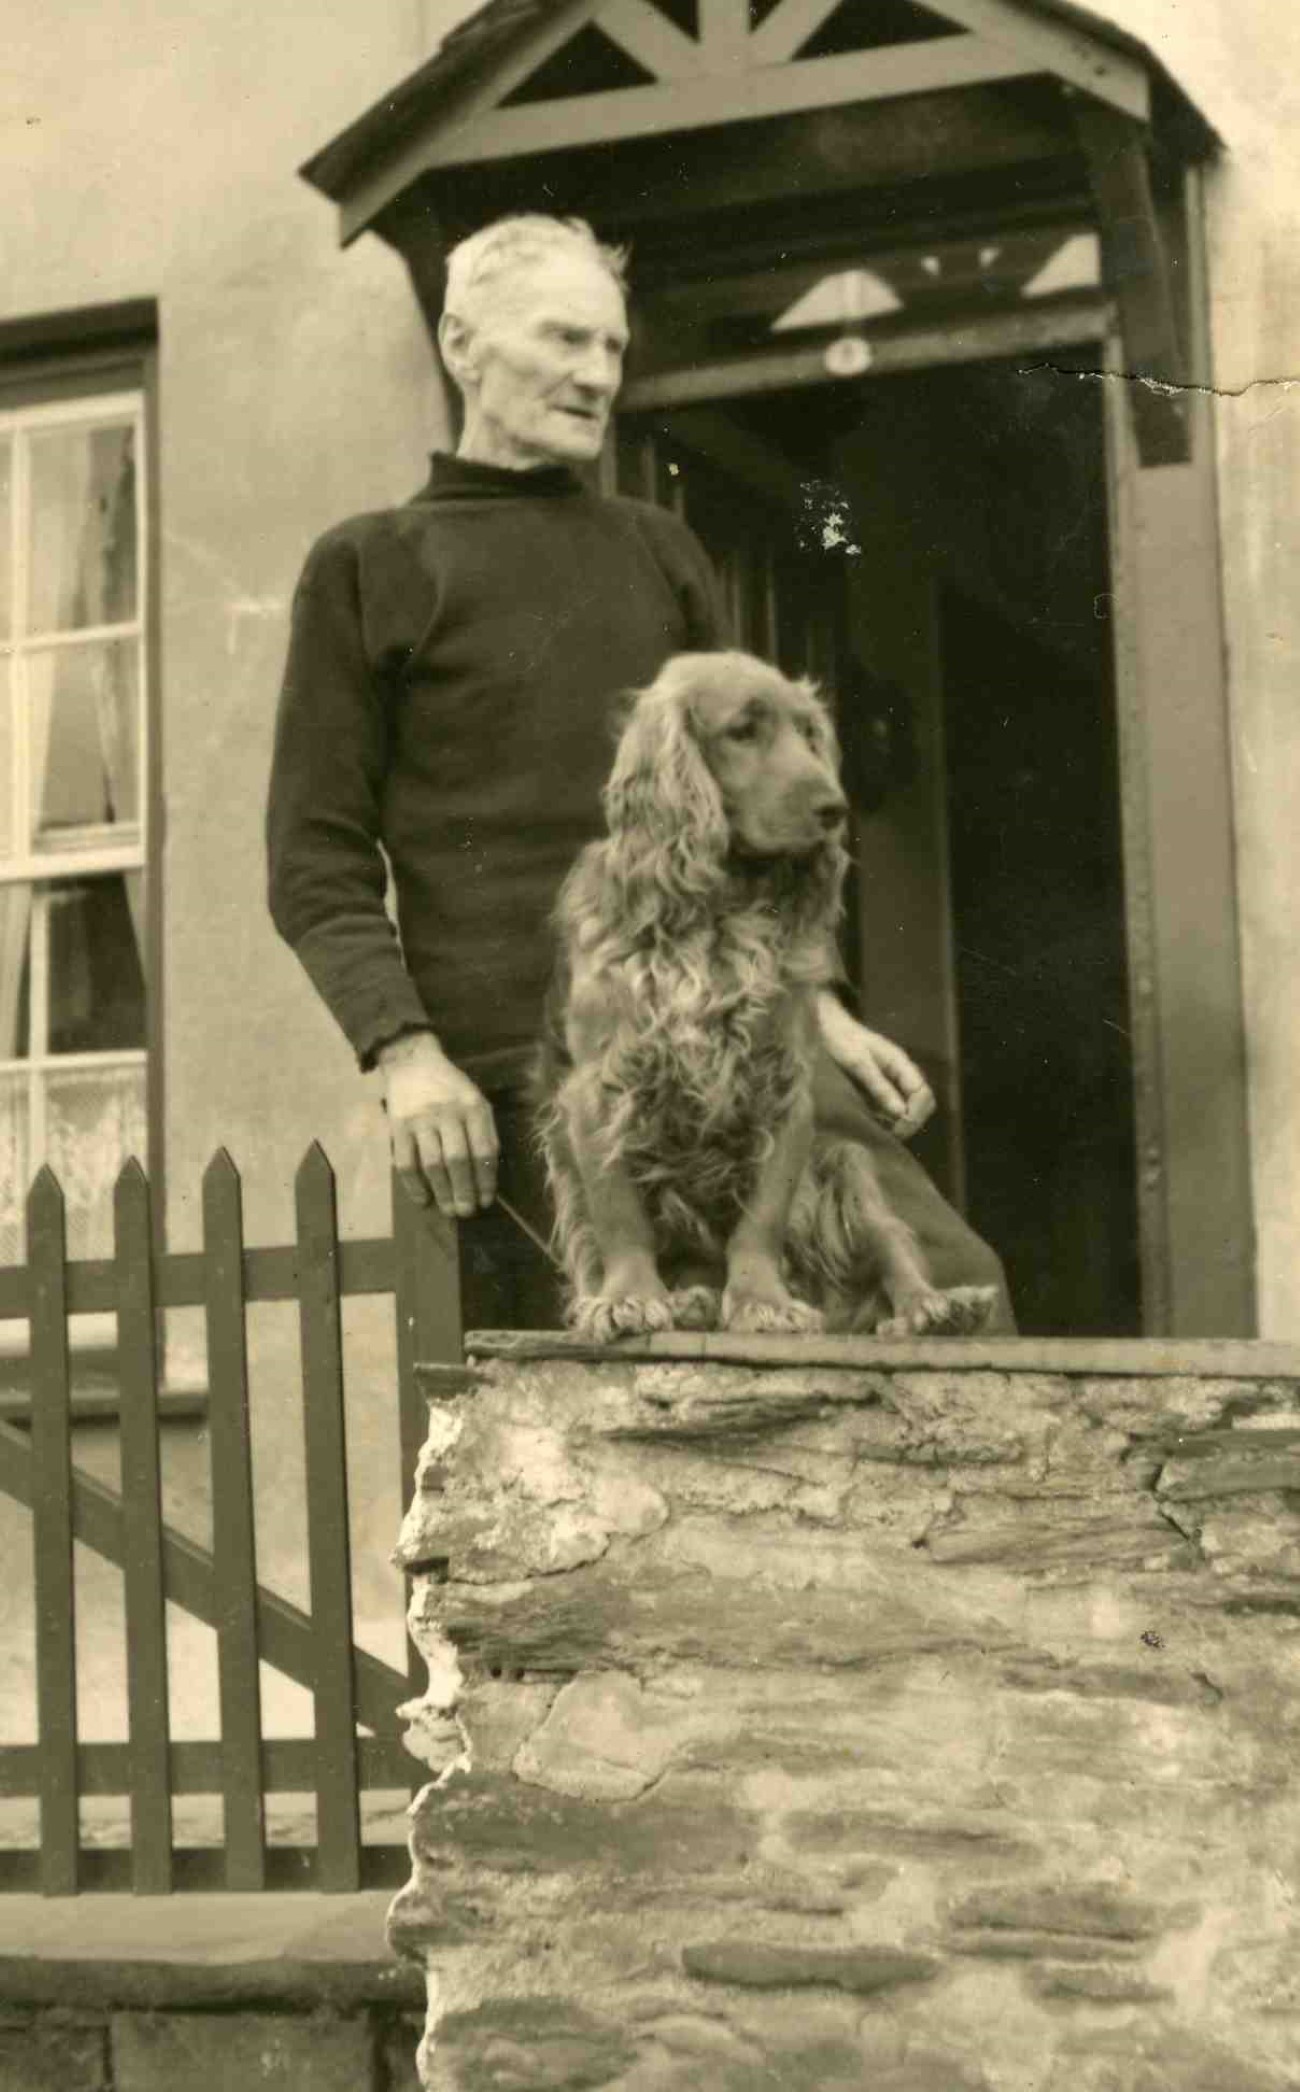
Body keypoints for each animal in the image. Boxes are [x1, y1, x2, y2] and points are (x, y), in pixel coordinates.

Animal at [535, 644, 992, 1347]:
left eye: (808, 733)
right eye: (743, 731)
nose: (835, 808)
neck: (717, 912)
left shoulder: (781, 1086)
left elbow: (762, 1220)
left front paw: (761, 1301)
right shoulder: (599, 1089)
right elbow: (619, 1212)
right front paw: (628, 1297)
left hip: (845, 1164)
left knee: (890, 1244)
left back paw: (932, 1306)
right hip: (563, 1161)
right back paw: (687, 1298)